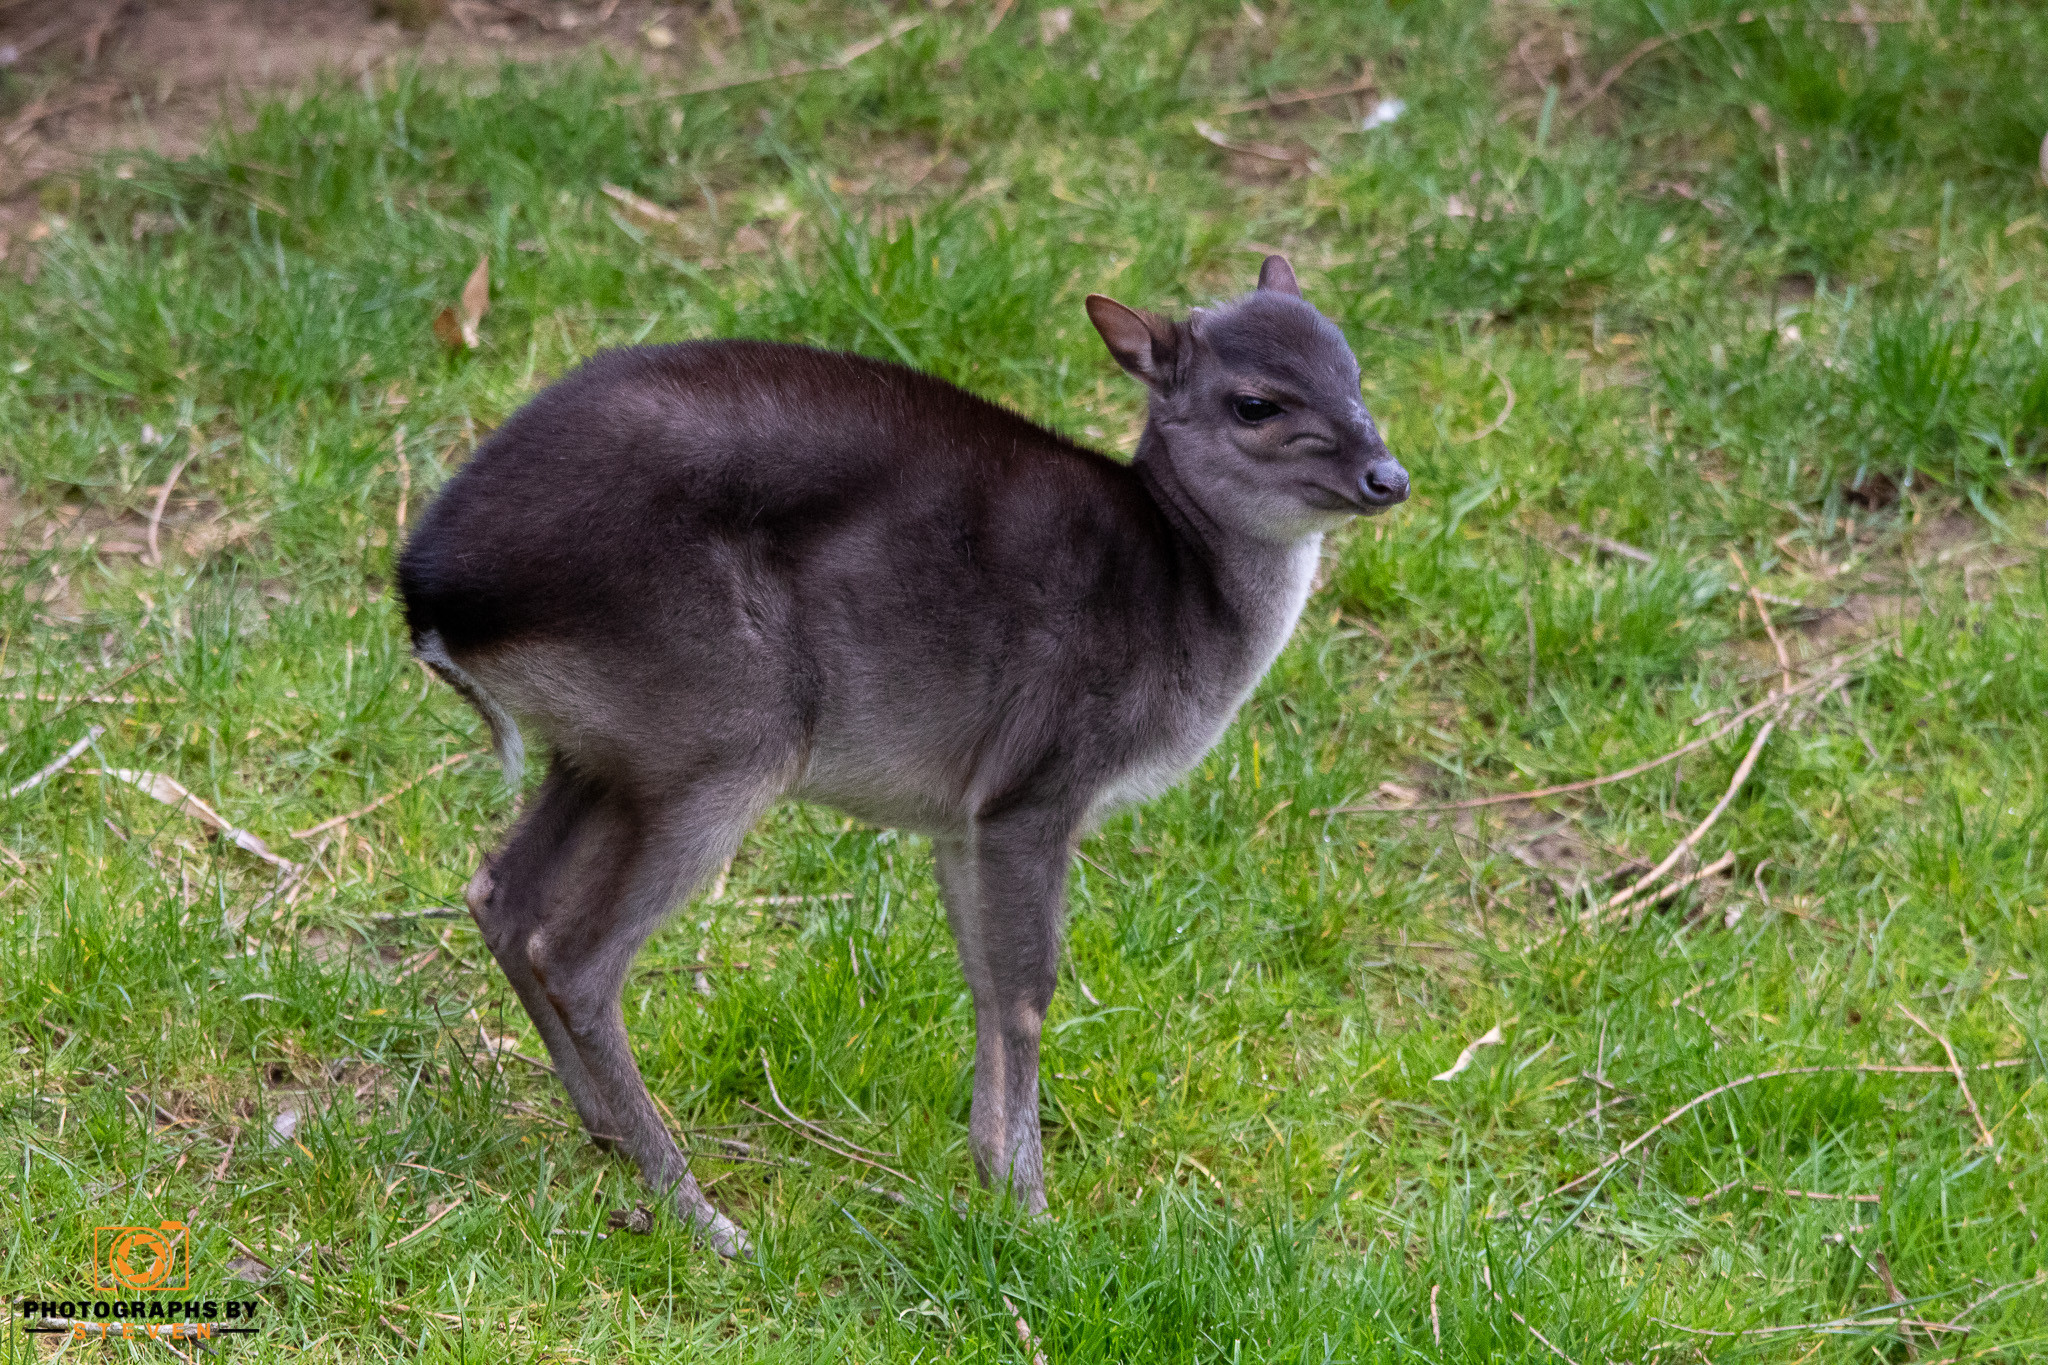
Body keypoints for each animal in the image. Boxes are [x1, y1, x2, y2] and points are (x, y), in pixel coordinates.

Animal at [396, 255, 1408, 1255]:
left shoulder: (963, 813)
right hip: (724, 729)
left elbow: (984, 979)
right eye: (1255, 403)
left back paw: (608, 1134)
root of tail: (430, 594)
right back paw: (701, 1210)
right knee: (576, 954)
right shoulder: (1040, 781)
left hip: (607, 748)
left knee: (501, 892)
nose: (1388, 477)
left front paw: (993, 1180)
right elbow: (1028, 986)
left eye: (1354, 368)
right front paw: (1034, 1209)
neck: (1181, 592)